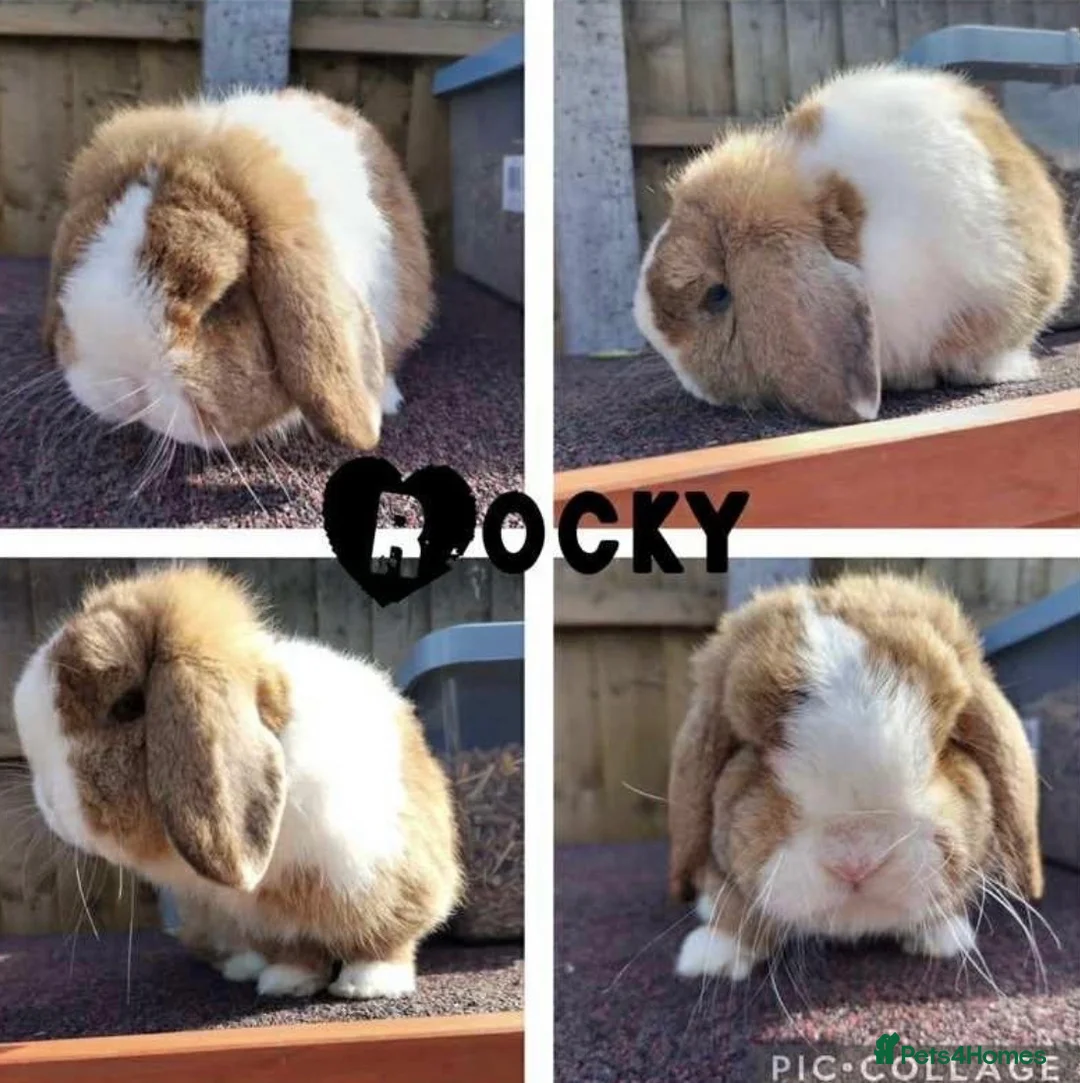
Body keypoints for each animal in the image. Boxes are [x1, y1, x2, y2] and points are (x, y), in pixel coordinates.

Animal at [12, 566, 461, 999]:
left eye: (127, 706)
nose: (48, 804)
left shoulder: (394, 873)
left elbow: (386, 935)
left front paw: (369, 985)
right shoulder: (270, 917)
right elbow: (295, 949)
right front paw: (286, 983)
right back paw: (244, 967)